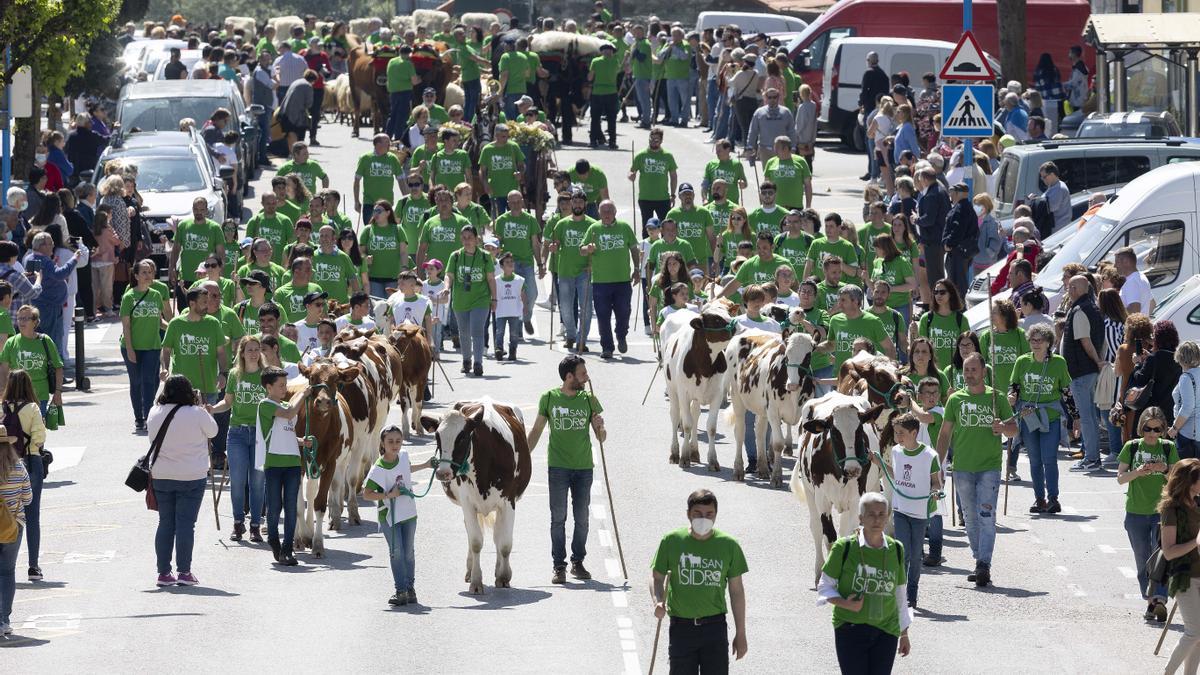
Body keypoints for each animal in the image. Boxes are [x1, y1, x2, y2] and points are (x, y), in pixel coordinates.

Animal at [292, 357, 357, 557]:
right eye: (312, 377)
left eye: (336, 379)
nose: (323, 401)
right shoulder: (298, 462)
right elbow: (297, 504)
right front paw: (299, 538)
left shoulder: (330, 463)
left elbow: (319, 503)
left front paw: (318, 543)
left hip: (341, 462)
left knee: (317, 491)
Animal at [424, 396, 532, 590]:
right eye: (437, 437)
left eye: (462, 438)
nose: (443, 473)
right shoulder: (467, 503)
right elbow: (475, 541)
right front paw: (475, 580)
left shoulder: (508, 501)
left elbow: (505, 543)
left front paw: (504, 576)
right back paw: (469, 569)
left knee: (497, 535)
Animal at [662, 303, 734, 468]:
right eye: (716, 319)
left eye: (728, 313)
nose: (735, 324)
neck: (705, 365)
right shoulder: (684, 394)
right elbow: (687, 424)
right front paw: (684, 457)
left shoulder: (717, 395)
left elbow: (711, 427)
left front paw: (712, 460)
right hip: (673, 389)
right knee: (675, 415)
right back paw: (674, 453)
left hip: (696, 397)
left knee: (695, 414)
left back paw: (694, 451)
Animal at [720, 326, 816, 480]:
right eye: (787, 355)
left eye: (807, 357)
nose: (792, 385)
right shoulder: (773, 412)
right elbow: (777, 443)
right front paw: (776, 476)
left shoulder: (804, 414)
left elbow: (803, 443)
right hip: (737, 397)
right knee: (740, 432)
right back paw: (739, 470)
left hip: (761, 408)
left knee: (759, 432)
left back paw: (763, 468)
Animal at [792, 391, 888, 581]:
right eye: (835, 434)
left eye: (860, 431)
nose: (853, 469)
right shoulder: (822, 498)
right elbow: (829, 537)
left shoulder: (857, 497)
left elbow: (848, 535)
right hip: (809, 491)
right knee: (815, 527)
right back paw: (818, 569)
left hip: (872, 486)